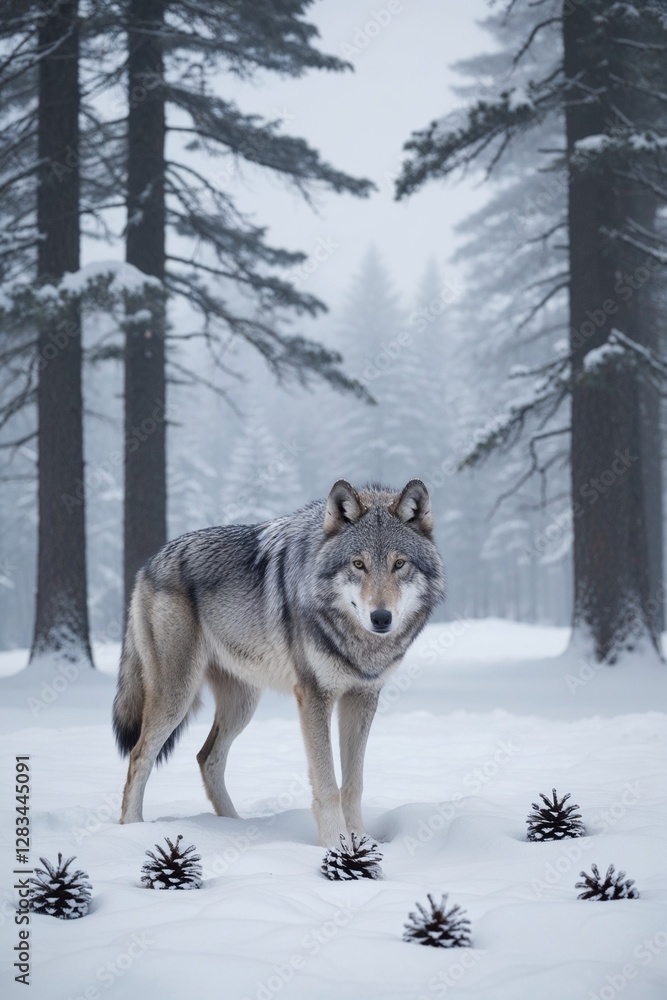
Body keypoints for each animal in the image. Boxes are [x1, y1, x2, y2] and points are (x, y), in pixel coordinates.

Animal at [113, 479, 445, 846]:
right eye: (359, 565)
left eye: (400, 564)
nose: (381, 618)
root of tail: (150, 562)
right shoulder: (313, 697)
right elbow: (328, 784)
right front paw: (335, 845)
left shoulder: (362, 697)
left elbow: (353, 784)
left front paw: (360, 842)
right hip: (177, 698)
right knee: (139, 755)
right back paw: (134, 829)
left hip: (243, 704)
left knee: (207, 757)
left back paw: (231, 826)